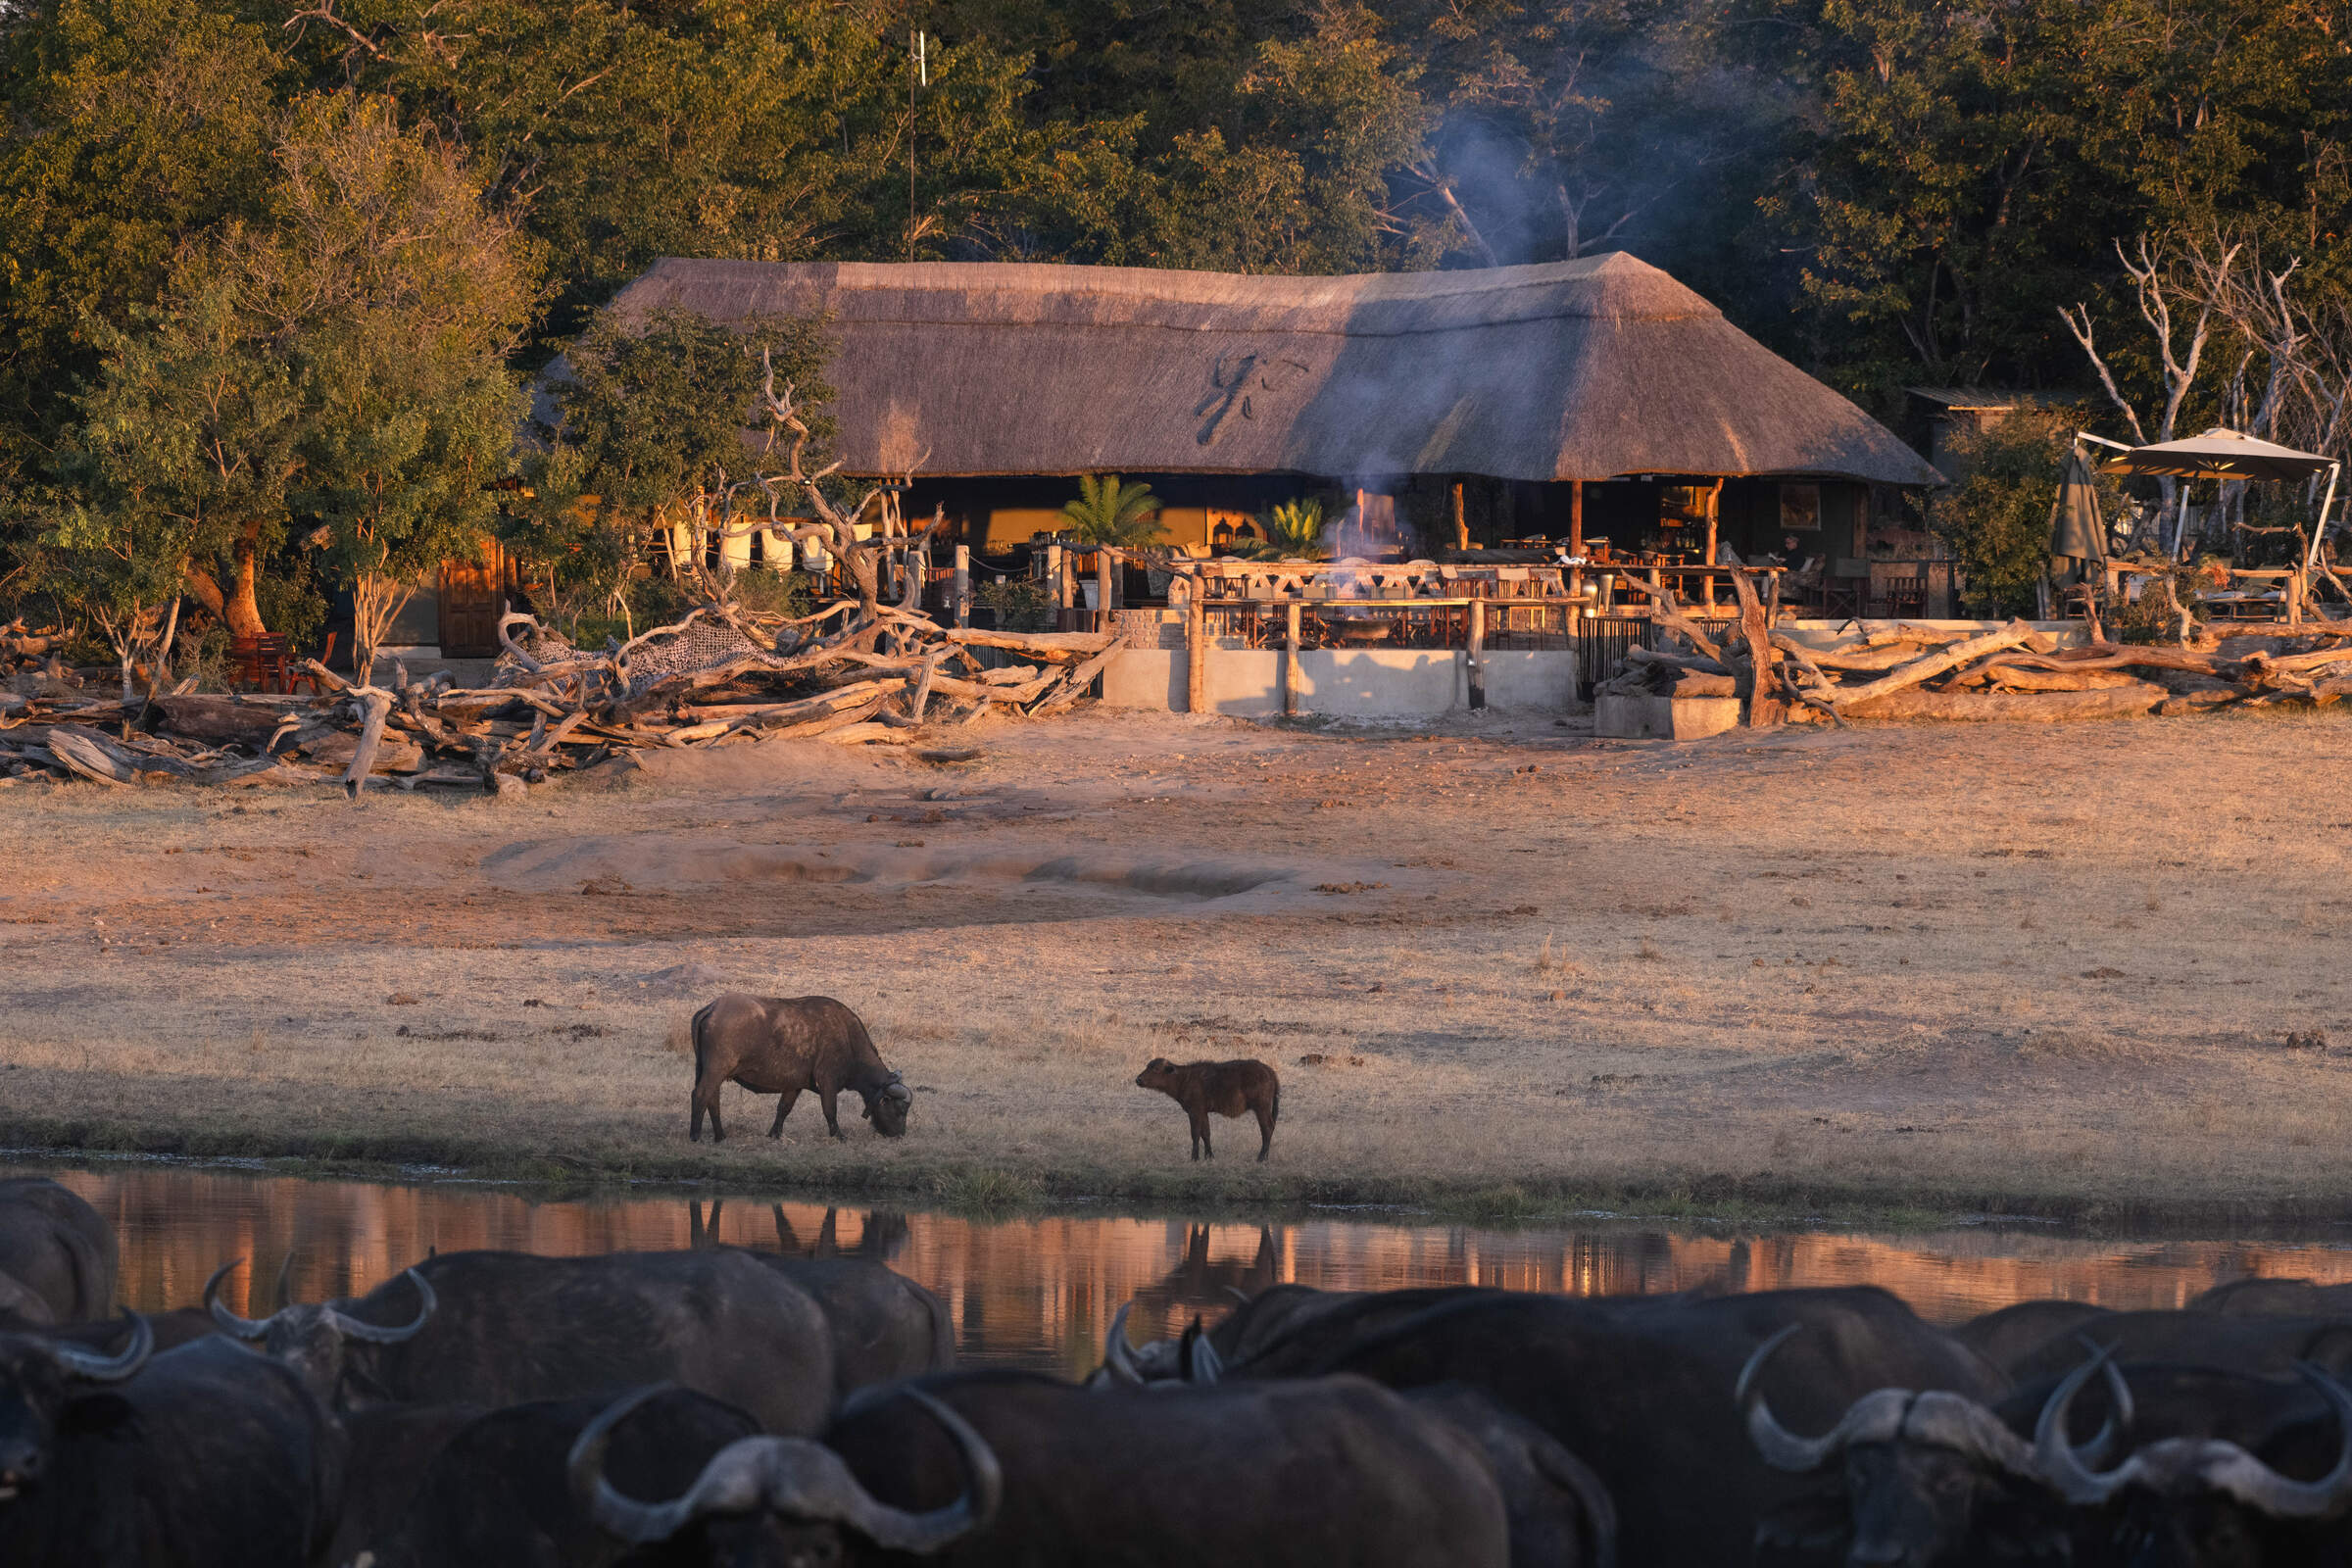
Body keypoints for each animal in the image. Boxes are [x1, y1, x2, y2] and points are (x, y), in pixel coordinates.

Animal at [686, 1001, 912, 1147]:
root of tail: (712, 1008)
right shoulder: (827, 1081)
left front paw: (774, 1134)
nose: (900, 1135)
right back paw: (695, 1135)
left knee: (712, 1099)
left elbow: (783, 1109)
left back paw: (720, 1136)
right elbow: (830, 1110)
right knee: (700, 1095)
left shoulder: (794, 1085)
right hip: (716, 1070)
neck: (848, 1039)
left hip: (708, 1070)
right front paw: (839, 1136)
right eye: (900, 1110)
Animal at [1129, 1053, 1279, 1165]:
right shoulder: (1203, 1112)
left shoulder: (1194, 1111)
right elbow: (1206, 1133)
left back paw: (1261, 1157)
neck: (1184, 1079)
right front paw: (1209, 1156)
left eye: (1155, 1069)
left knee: (1267, 1128)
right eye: (1147, 1066)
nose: (1138, 1080)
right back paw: (1265, 1156)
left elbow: (1195, 1134)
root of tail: (1269, 1071)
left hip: (1261, 1107)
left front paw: (1194, 1158)